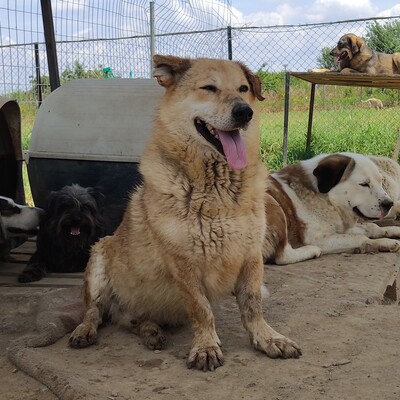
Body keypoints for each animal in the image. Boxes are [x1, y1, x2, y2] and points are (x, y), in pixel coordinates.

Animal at [69, 54, 300, 370]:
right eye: (209, 88)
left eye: (243, 88)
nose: (245, 112)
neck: (216, 188)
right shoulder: (183, 264)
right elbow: (201, 309)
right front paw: (206, 346)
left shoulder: (251, 255)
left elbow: (253, 305)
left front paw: (267, 338)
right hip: (99, 257)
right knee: (94, 312)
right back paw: (86, 330)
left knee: (128, 319)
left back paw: (150, 331)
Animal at [262, 152, 400, 264]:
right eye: (364, 184)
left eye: (381, 182)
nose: (389, 204)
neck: (327, 200)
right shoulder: (319, 239)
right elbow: (361, 238)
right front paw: (385, 242)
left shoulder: (341, 227)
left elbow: (372, 227)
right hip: (273, 203)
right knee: (283, 256)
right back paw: (312, 251)